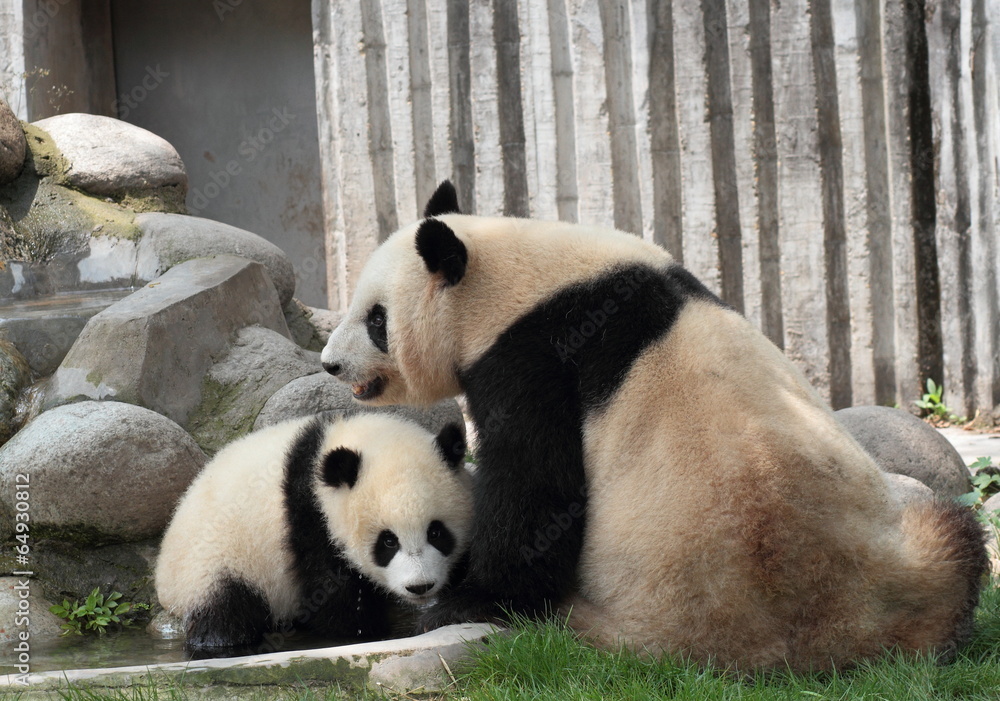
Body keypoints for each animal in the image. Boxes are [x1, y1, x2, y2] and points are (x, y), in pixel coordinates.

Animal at [155, 412, 472, 654]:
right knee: (227, 611)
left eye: (436, 532)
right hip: (216, 565)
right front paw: (368, 630)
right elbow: (331, 596)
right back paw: (221, 642)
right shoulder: (310, 522)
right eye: (388, 541)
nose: (420, 586)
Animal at [319, 180, 988, 671]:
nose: (330, 363)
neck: (509, 276)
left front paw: (466, 594)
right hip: (904, 568)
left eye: (375, 319)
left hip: (634, 613)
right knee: (954, 538)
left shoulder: (531, 361)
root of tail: (818, 641)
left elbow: (537, 495)